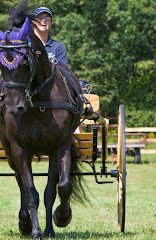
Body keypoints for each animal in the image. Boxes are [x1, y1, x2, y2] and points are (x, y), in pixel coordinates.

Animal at [0, 1, 88, 238]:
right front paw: (35, 230)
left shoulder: (60, 146)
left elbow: (61, 187)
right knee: (20, 182)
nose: (13, 107)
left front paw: (61, 218)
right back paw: (24, 221)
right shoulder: (20, 149)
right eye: (1, 66)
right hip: (8, 148)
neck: (39, 101)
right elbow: (30, 192)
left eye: (25, 62)